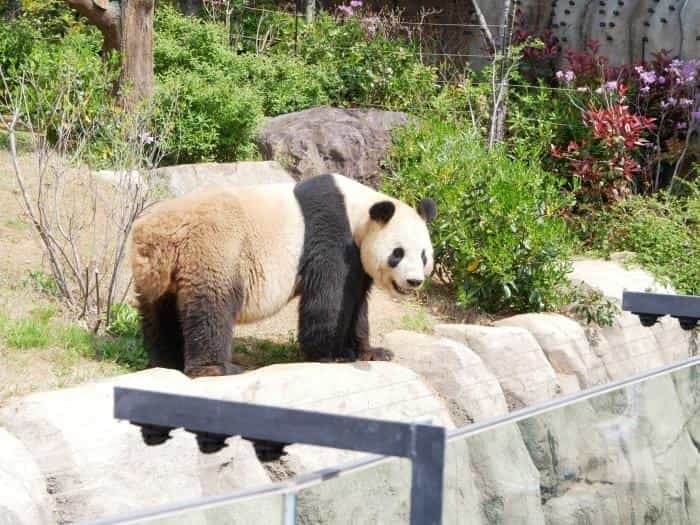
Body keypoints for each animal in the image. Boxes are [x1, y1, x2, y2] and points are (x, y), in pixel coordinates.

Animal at [130, 173, 438, 376]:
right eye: (398, 253)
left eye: (424, 255)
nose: (413, 281)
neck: (360, 210)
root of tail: (158, 236)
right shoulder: (331, 237)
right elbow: (330, 301)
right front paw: (334, 355)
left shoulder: (358, 262)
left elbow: (356, 306)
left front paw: (373, 351)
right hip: (213, 250)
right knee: (211, 307)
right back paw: (216, 368)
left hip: (154, 274)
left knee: (159, 313)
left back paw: (166, 361)